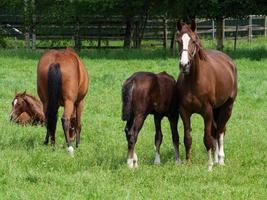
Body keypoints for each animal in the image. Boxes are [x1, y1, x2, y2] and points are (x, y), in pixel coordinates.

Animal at [177, 19, 238, 170]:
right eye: (178, 41)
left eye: (194, 41)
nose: (184, 65)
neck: (194, 81)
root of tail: (229, 62)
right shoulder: (184, 111)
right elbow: (187, 138)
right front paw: (188, 163)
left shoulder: (207, 112)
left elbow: (207, 138)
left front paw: (209, 165)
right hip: (217, 109)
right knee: (216, 131)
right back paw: (216, 159)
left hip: (227, 107)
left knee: (220, 131)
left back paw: (220, 159)